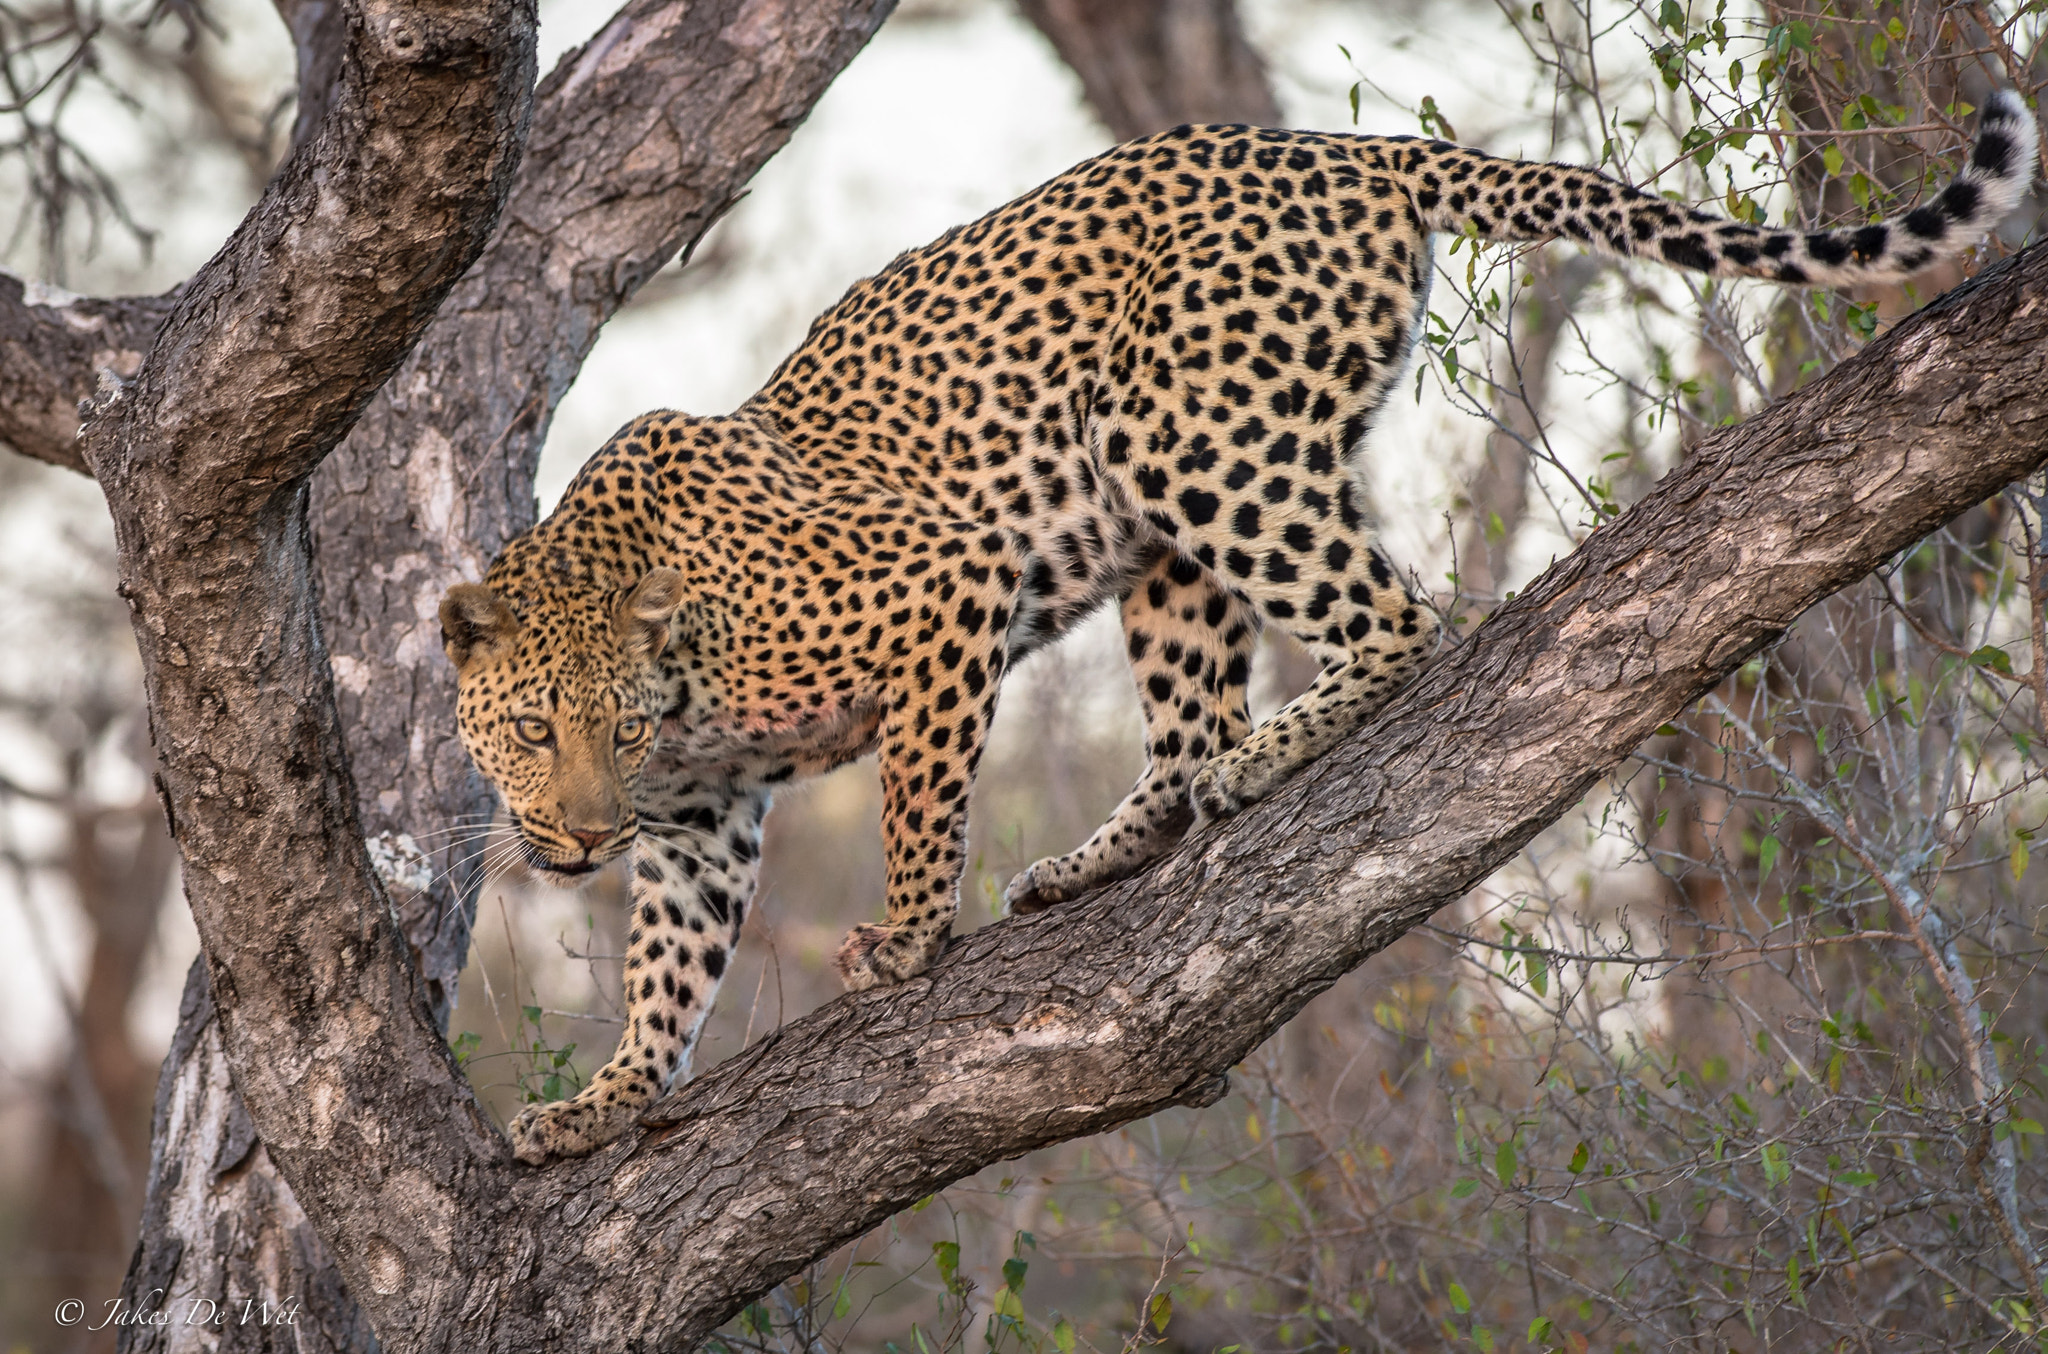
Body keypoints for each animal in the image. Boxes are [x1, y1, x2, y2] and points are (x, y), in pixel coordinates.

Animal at [438, 91, 2038, 1164]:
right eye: (532, 730)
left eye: (608, 723)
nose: (576, 834)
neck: (679, 672)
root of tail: (1346, 145)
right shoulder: (697, 816)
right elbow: (667, 962)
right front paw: (603, 1105)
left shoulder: (941, 591)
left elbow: (915, 794)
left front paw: (904, 940)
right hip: (1159, 529)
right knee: (1190, 713)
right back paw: (1109, 847)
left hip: (1184, 438)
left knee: (1399, 613)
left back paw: (1270, 758)